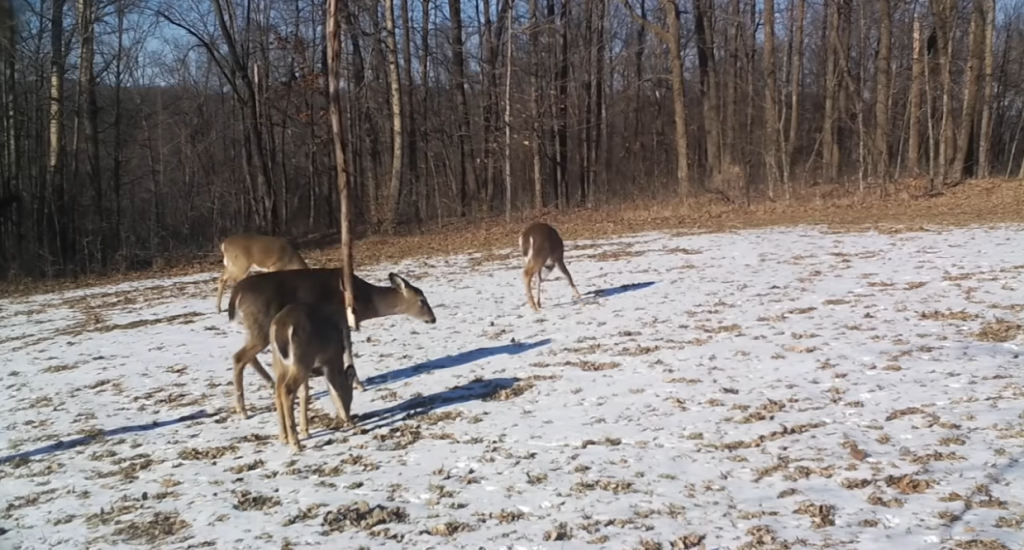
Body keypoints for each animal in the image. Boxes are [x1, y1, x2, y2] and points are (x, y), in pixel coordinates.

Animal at [226, 268, 436, 419]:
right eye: (421, 300)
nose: (433, 319)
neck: (364, 301)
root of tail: (236, 295)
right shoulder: (342, 319)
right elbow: (348, 349)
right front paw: (358, 384)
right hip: (261, 325)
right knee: (239, 357)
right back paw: (243, 410)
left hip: (254, 328)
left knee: (246, 356)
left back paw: (267, 385)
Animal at [269, 301, 360, 452]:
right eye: (351, 396)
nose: (348, 413)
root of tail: (280, 327)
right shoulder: (330, 361)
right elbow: (335, 390)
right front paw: (349, 422)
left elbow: (304, 392)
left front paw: (305, 431)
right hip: (302, 359)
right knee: (287, 389)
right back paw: (295, 443)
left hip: (280, 362)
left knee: (278, 390)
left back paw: (284, 437)